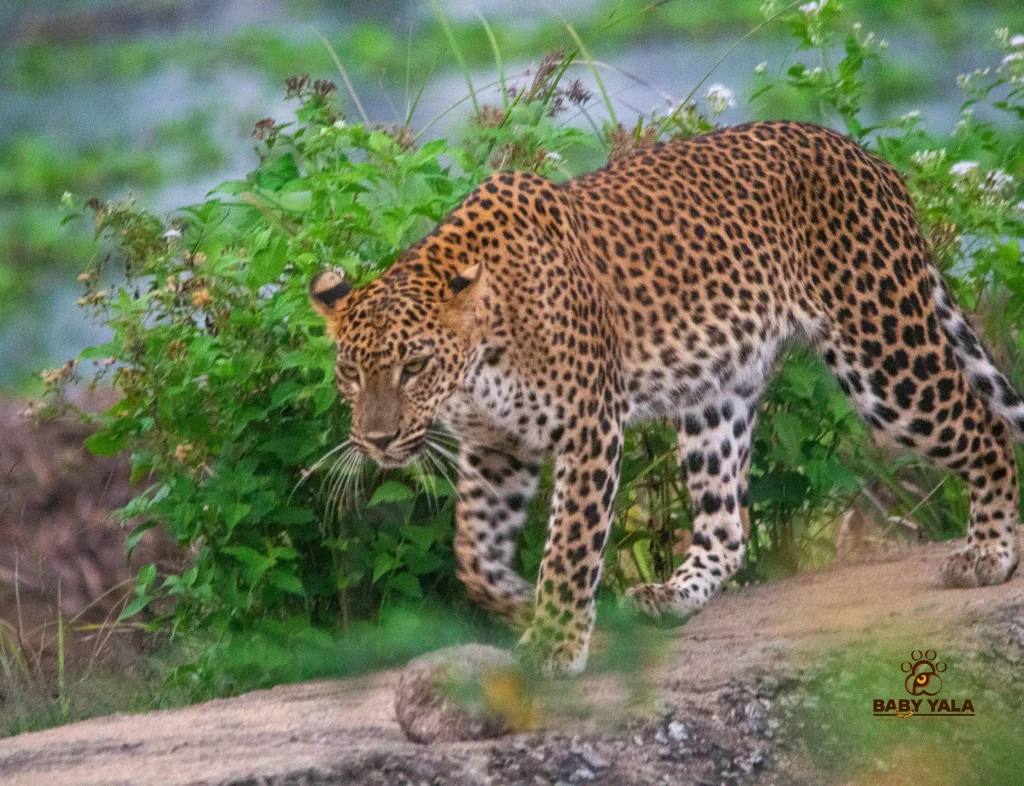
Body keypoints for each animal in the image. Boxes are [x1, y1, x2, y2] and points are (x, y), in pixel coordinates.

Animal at [309, 120, 1021, 675]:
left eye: (413, 366)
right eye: (349, 371)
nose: (375, 439)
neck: (479, 359)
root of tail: (871, 159)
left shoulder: (590, 426)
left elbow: (569, 546)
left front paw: (555, 643)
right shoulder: (496, 446)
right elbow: (473, 556)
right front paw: (523, 605)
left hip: (883, 350)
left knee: (984, 427)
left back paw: (991, 552)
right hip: (718, 397)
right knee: (726, 525)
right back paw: (671, 596)